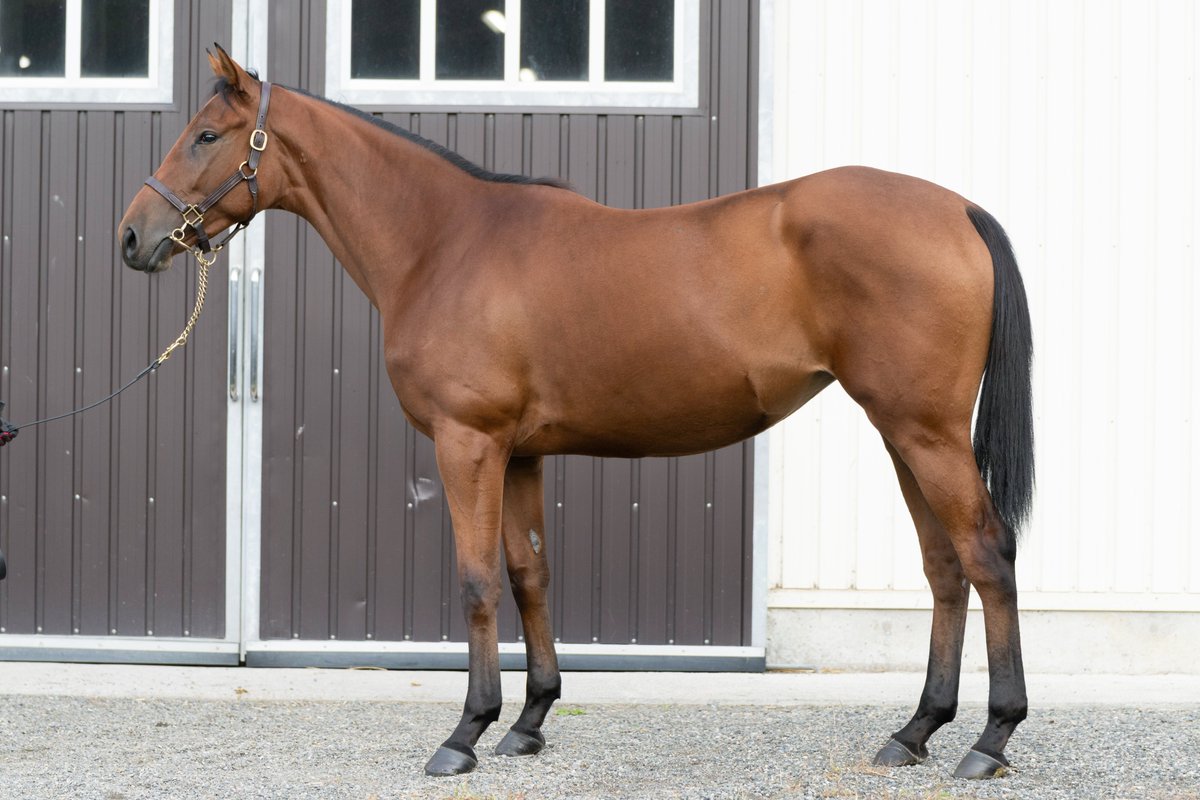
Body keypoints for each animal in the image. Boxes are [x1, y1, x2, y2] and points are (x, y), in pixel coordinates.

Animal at [118, 47, 1034, 780]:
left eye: (207, 136)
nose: (133, 237)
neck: (443, 242)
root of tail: (956, 208)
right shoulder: (520, 452)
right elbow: (530, 575)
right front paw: (528, 722)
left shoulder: (469, 444)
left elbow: (478, 581)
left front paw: (465, 733)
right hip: (902, 434)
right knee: (944, 568)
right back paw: (914, 732)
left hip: (926, 433)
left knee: (986, 554)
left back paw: (990, 740)